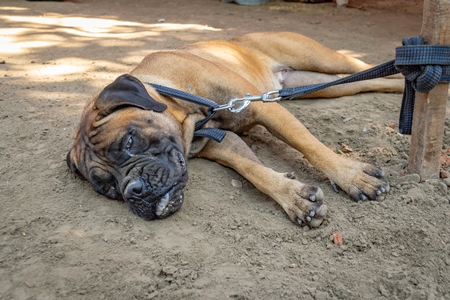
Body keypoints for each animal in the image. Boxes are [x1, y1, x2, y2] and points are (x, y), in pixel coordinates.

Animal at [66, 31, 400, 227]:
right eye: (108, 188)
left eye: (129, 142)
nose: (132, 190)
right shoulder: (223, 142)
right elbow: (253, 170)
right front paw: (293, 196)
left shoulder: (264, 107)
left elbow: (309, 146)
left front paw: (351, 176)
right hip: (322, 86)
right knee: (370, 80)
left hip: (321, 59)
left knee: (367, 67)